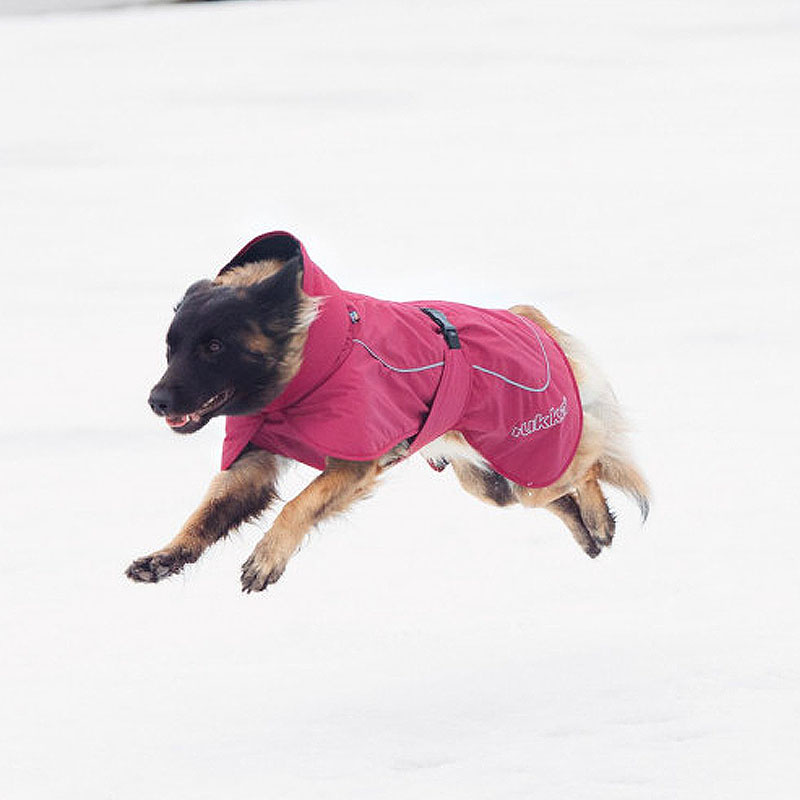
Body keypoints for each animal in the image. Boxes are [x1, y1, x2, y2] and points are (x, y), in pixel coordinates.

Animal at [126, 228, 648, 592]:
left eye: (214, 347)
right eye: (171, 348)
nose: (157, 401)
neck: (310, 362)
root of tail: (529, 319)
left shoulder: (353, 463)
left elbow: (298, 504)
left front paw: (268, 556)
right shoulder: (251, 463)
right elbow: (205, 514)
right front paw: (166, 556)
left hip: (534, 459)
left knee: (587, 469)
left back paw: (599, 519)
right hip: (491, 483)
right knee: (556, 496)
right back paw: (589, 532)